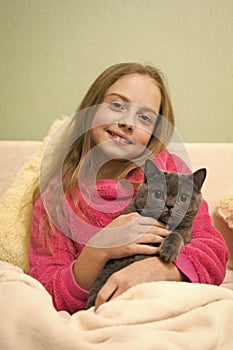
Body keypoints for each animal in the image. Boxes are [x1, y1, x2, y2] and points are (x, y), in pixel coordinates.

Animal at [86, 159, 207, 308]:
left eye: (183, 198)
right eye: (158, 194)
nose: (170, 205)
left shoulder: (185, 232)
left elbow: (176, 235)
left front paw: (168, 252)